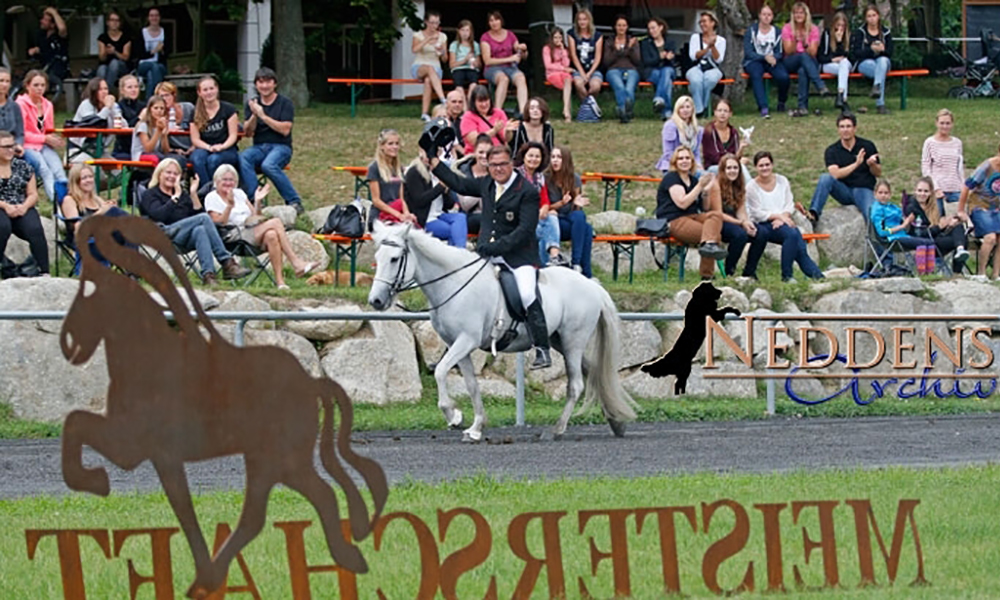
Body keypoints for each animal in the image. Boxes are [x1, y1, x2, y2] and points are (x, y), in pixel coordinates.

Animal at [366, 220, 632, 440]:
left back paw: (556, 429)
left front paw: (454, 416)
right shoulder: (456, 345)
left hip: (572, 342)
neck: (453, 284)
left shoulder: (467, 340)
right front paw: (476, 427)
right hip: (559, 341)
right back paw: (615, 421)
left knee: (576, 385)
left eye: (394, 259)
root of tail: (591, 284)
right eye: (377, 256)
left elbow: (440, 372)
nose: (376, 301)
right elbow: (472, 385)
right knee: (594, 373)